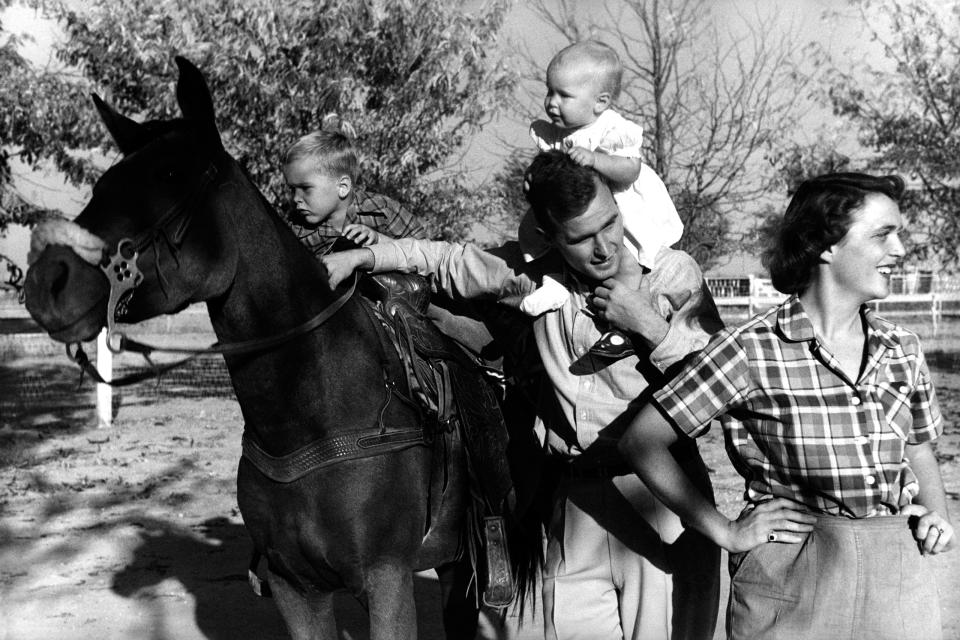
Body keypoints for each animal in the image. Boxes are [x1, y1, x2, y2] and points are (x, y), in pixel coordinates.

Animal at [22, 56, 532, 640]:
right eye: (104, 183)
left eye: (170, 176)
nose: (46, 282)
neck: (313, 411)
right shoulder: (296, 589)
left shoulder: (388, 581)